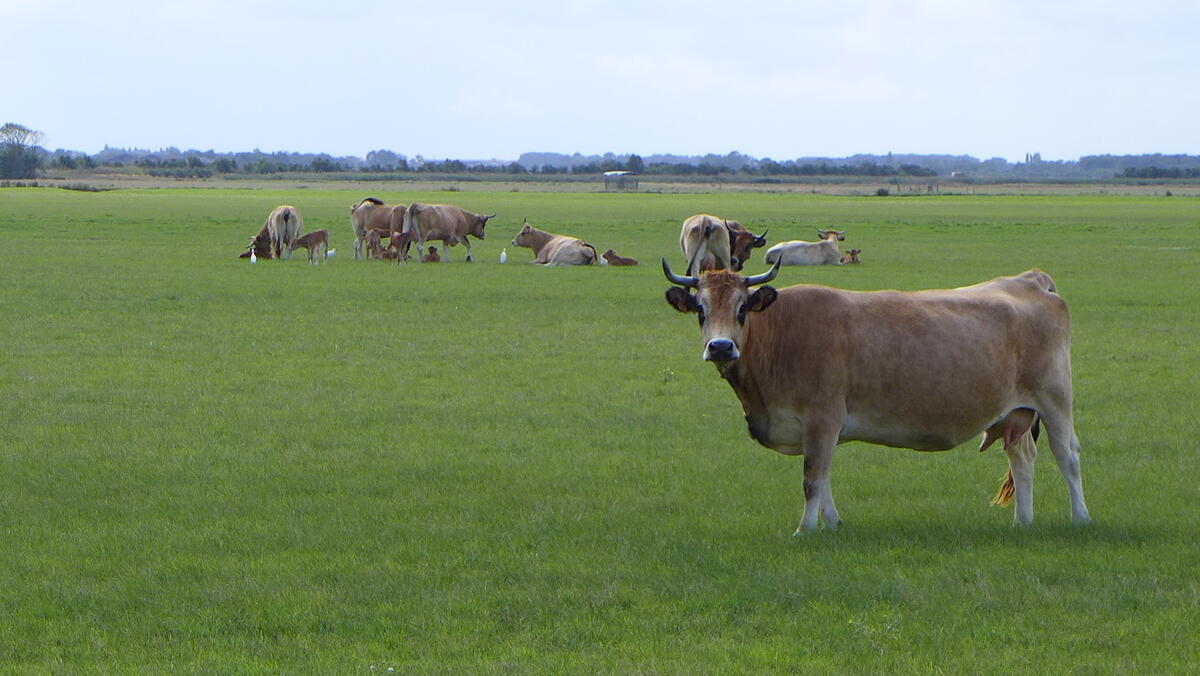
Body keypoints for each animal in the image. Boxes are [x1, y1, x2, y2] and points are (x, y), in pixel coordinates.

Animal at [662, 259, 1094, 535]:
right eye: (700, 310)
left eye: (741, 309)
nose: (721, 347)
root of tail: (1028, 279)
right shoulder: (818, 429)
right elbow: (824, 476)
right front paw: (831, 524)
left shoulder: (822, 418)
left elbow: (812, 478)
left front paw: (805, 529)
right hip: (1012, 413)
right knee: (1022, 460)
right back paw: (1023, 521)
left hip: (1055, 399)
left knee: (1067, 456)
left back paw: (1080, 518)